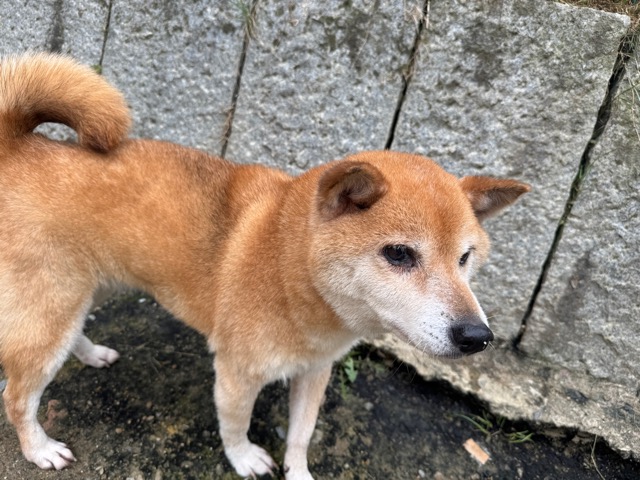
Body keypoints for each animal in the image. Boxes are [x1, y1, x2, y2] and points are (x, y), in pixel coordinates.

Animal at [0, 52, 529, 479]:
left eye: (464, 258)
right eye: (399, 254)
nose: (477, 336)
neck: (289, 268)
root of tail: (16, 145)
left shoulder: (314, 372)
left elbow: (300, 435)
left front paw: (298, 472)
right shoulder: (237, 373)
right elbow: (236, 426)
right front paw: (245, 459)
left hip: (91, 288)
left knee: (69, 337)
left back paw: (91, 354)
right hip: (51, 307)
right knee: (18, 395)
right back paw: (40, 449)